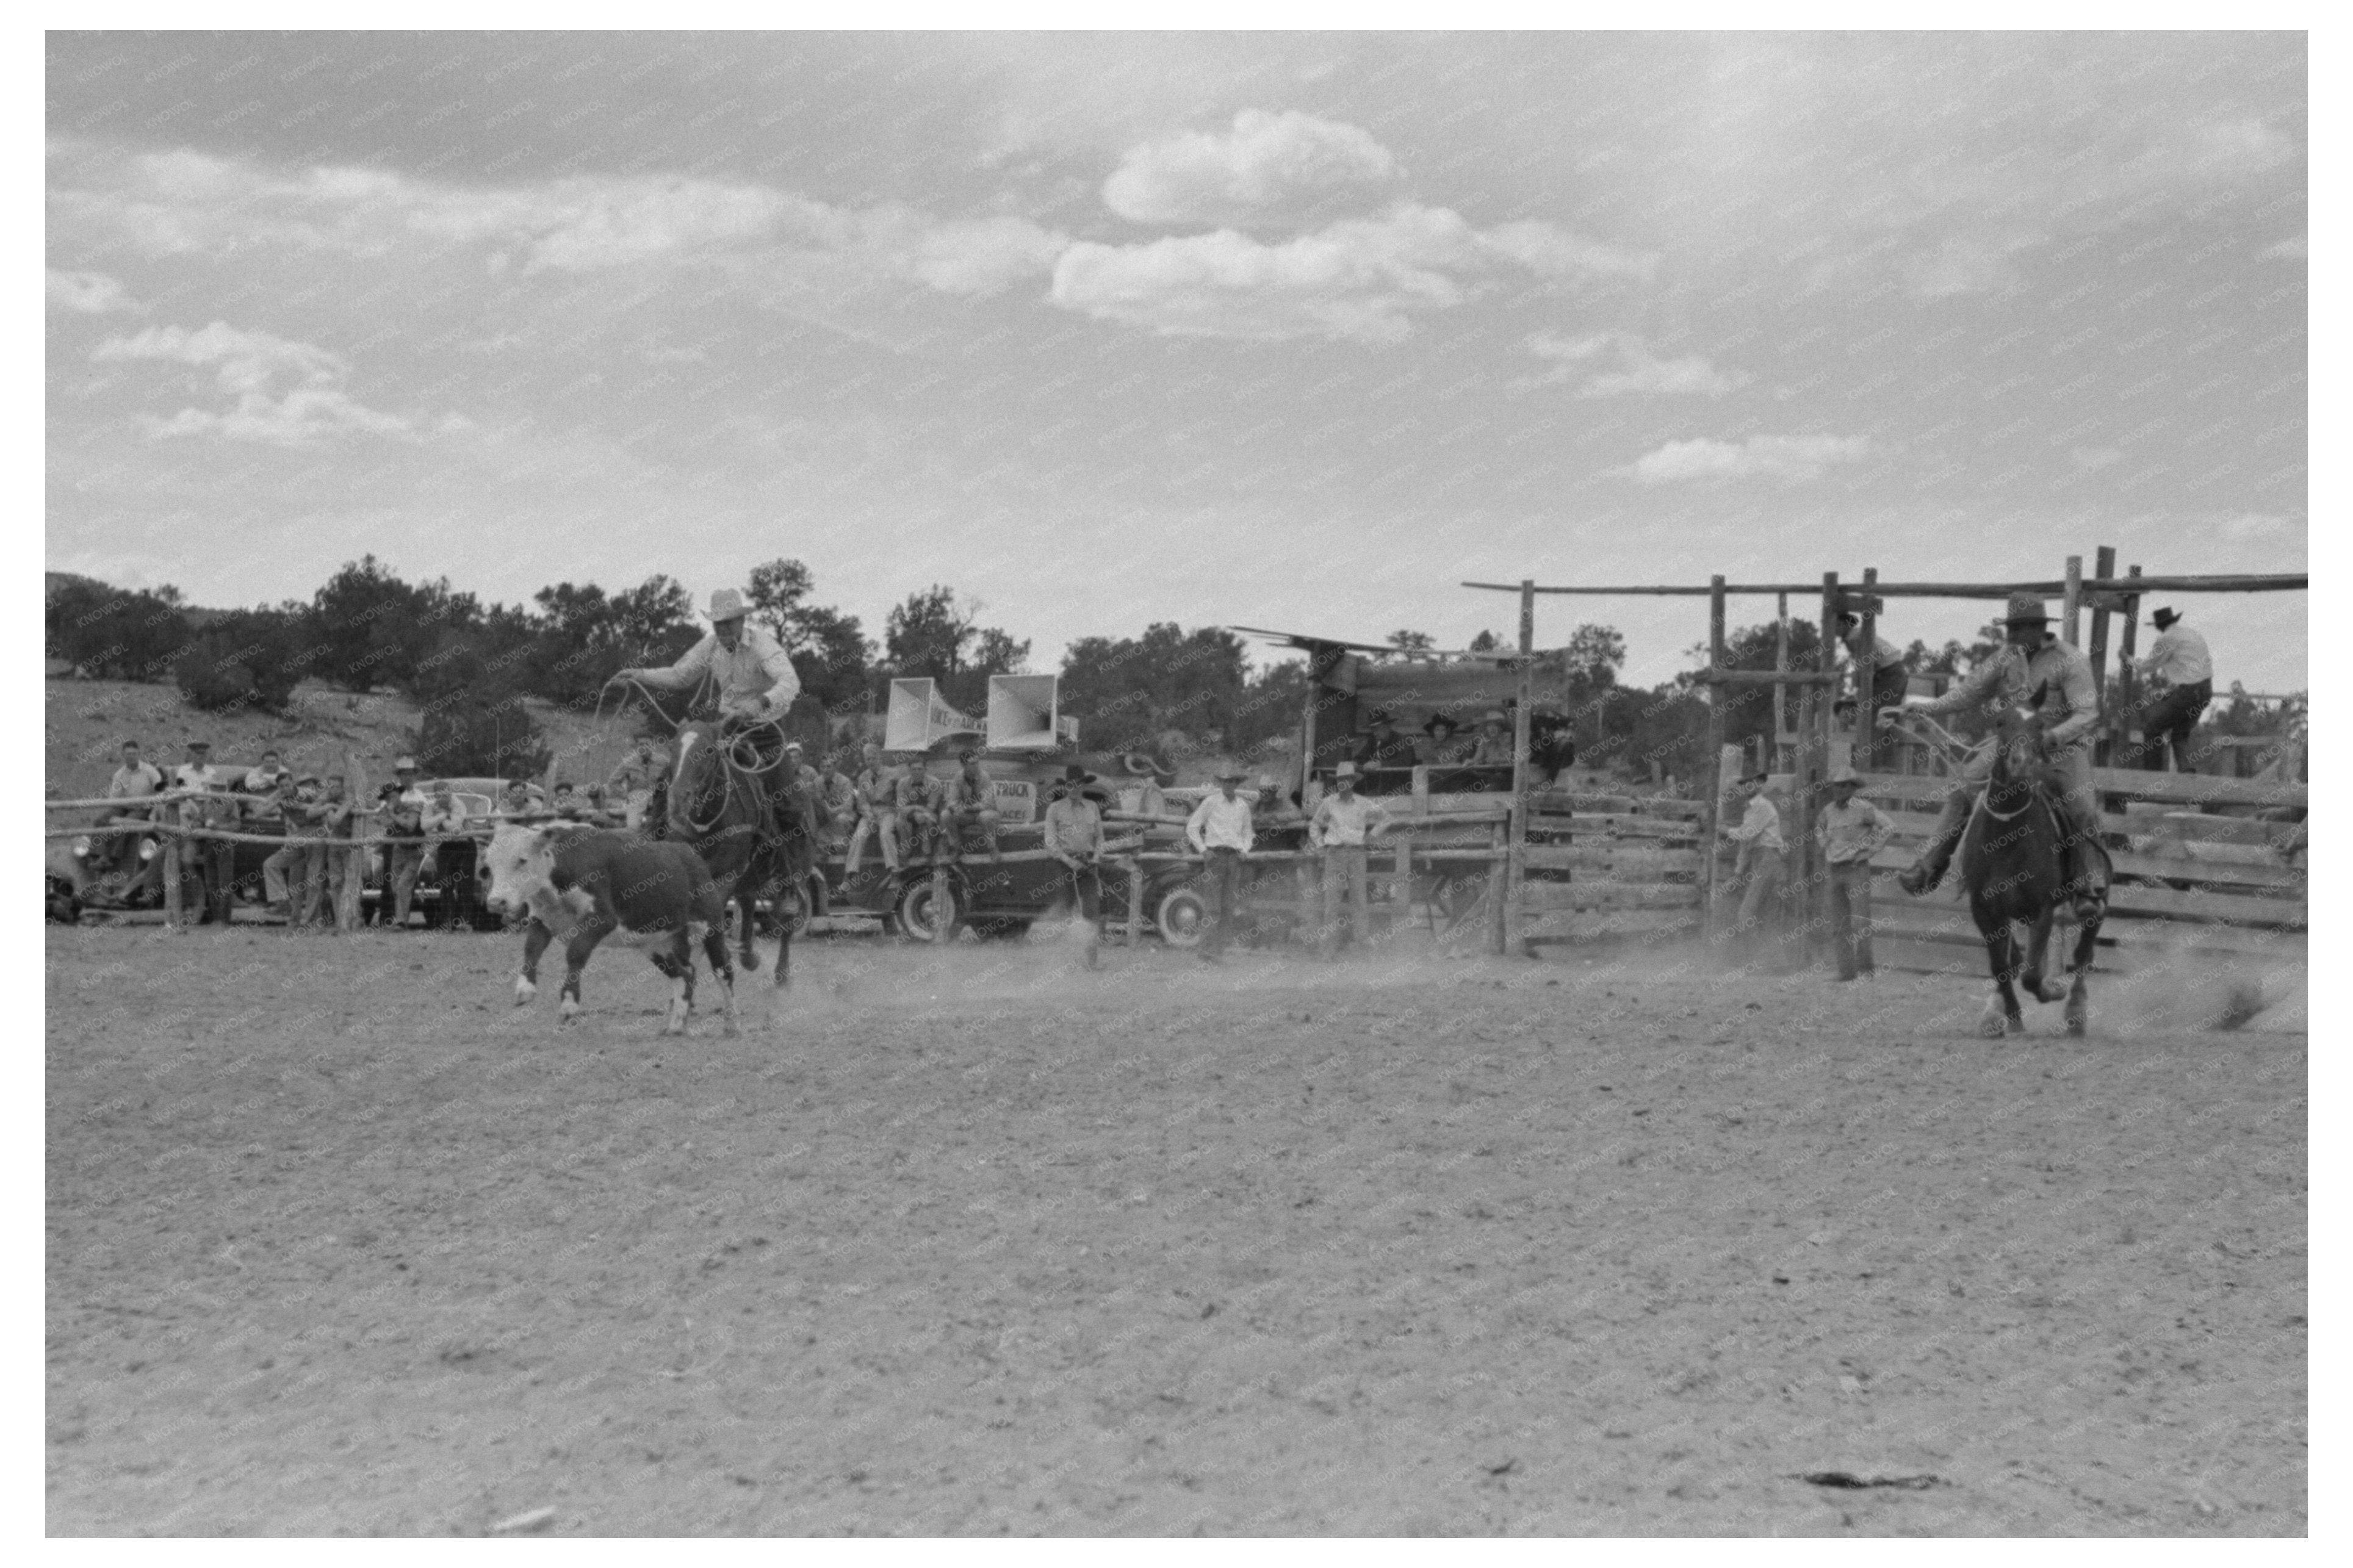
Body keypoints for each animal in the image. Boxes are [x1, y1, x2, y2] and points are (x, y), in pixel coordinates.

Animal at [477, 824, 734, 1031]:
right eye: (488, 865)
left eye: (522, 860)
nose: (496, 902)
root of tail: (691, 857)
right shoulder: (543, 919)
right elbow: (532, 949)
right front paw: (525, 989)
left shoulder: (602, 919)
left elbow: (575, 953)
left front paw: (569, 1004)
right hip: (657, 944)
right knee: (685, 976)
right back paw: (676, 1027)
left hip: (711, 928)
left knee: (724, 971)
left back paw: (731, 1026)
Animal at [663, 716, 818, 984]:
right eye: (674, 747)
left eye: (708, 750)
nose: (679, 799)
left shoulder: (726, 876)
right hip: (750, 877)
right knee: (747, 903)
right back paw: (748, 955)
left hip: (793, 872)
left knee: (787, 921)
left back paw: (781, 975)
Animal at [1948, 701, 2117, 1031]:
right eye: (2000, 722)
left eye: (2040, 725)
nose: (2022, 763)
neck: (2007, 838)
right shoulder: (1984, 910)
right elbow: (2002, 967)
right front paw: (2010, 1017)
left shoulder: (2043, 909)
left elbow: (2031, 975)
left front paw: (2051, 992)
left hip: (2095, 899)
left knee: (2083, 953)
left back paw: (2076, 1012)